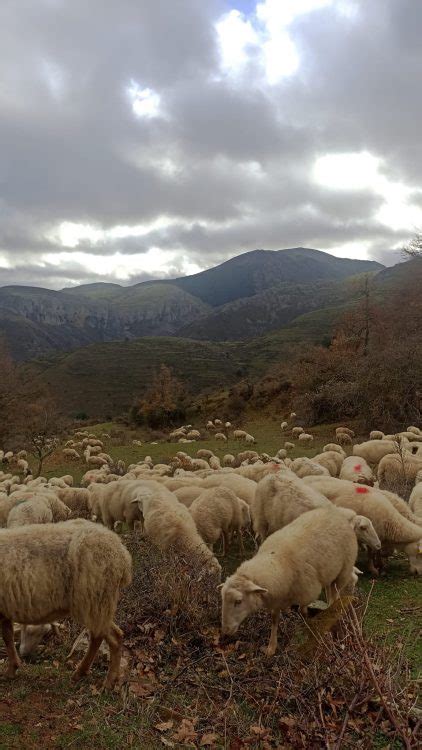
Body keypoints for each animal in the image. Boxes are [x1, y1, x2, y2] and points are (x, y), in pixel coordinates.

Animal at [0, 520, 132, 692]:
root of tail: (122, 554)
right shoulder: (5, 610)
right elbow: (8, 637)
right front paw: (12, 668)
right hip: (96, 604)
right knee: (100, 636)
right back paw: (82, 672)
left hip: (95, 600)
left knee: (112, 637)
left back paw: (107, 682)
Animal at [221, 506, 360, 656]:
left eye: (238, 601)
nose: (225, 631)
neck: (279, 561)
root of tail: (339, 512)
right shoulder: (276, 598)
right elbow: (274, 620)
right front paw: (271, 647)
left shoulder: (307, 593)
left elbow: (302, 611)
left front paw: (307, 625)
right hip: (330, 572)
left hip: (343, 571)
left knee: (335, 595)